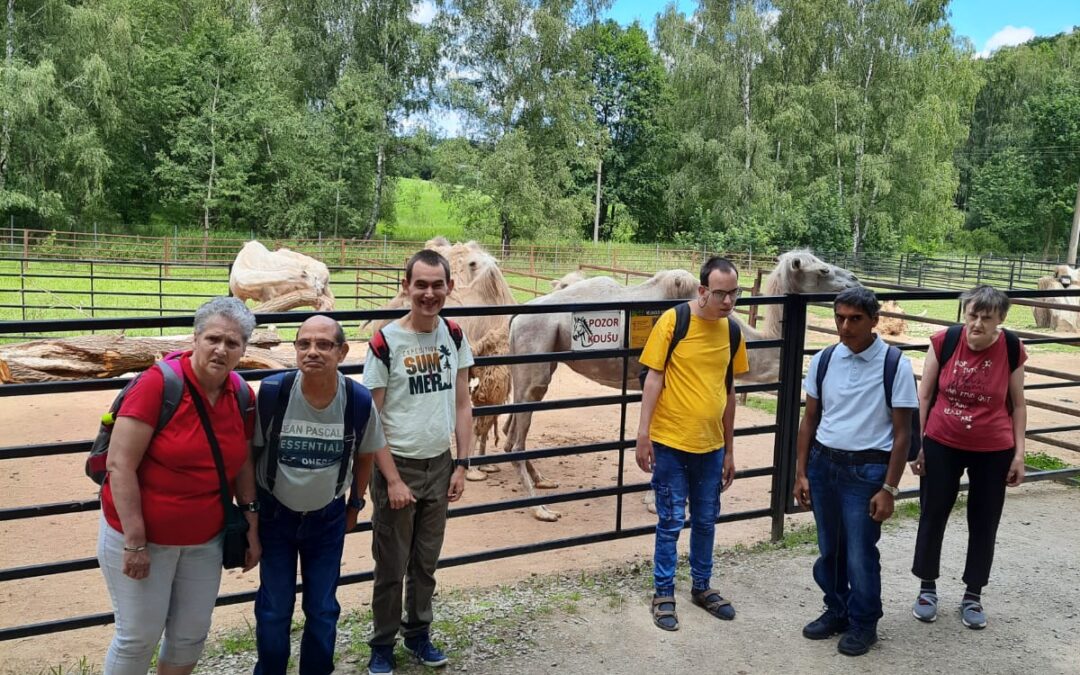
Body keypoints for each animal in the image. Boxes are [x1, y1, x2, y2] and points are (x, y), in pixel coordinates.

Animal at [505, 251, 859, 520]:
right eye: (823, 269)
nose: (855, 280)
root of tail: (515, 320)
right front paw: (658, 503)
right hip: (534, 365)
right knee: (516, 440)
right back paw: (540, 508)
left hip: (536, 371)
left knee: (513, 433)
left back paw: (542, 482)